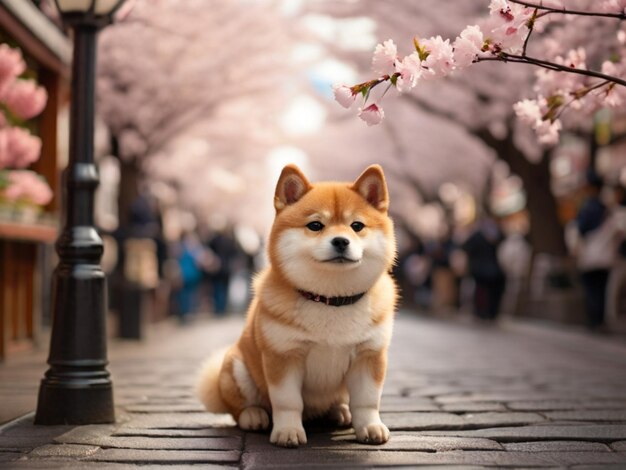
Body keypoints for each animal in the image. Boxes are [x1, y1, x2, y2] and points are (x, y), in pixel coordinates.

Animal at [197, 163, 398, 446]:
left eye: (357, 225)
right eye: (315, 225)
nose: (341, 241)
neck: (330, 300)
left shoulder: (369, 355)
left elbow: (367, 402)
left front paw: (370, 427)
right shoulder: (284, 356)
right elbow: (288, 403)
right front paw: (288, 431)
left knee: (339, 402)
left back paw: (340, 411)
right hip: (236, 367)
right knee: (239, 408)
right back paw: (253, 415)